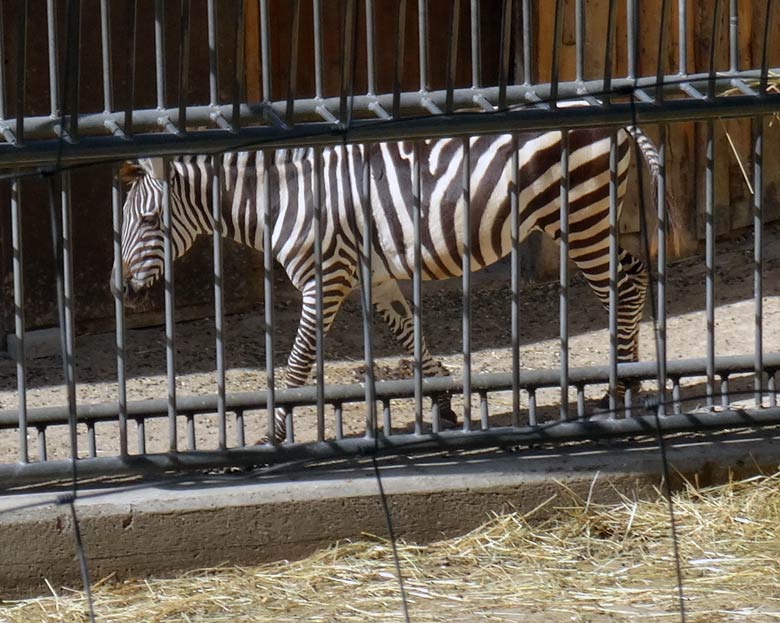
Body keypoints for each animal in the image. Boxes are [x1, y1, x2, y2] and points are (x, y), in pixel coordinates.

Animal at [114, 128, 664, 444]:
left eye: (149, 221)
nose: (122, 294)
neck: (285, 198)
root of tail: (610, 121)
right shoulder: (374, 279)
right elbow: (411, 339)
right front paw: (445, 404)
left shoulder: (324, 278)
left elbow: (297, 365)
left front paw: (274, 434)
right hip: (595, 222)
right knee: (635, 277)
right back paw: (630, 380)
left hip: (581, 221)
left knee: (624, 288)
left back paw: (620, 386)